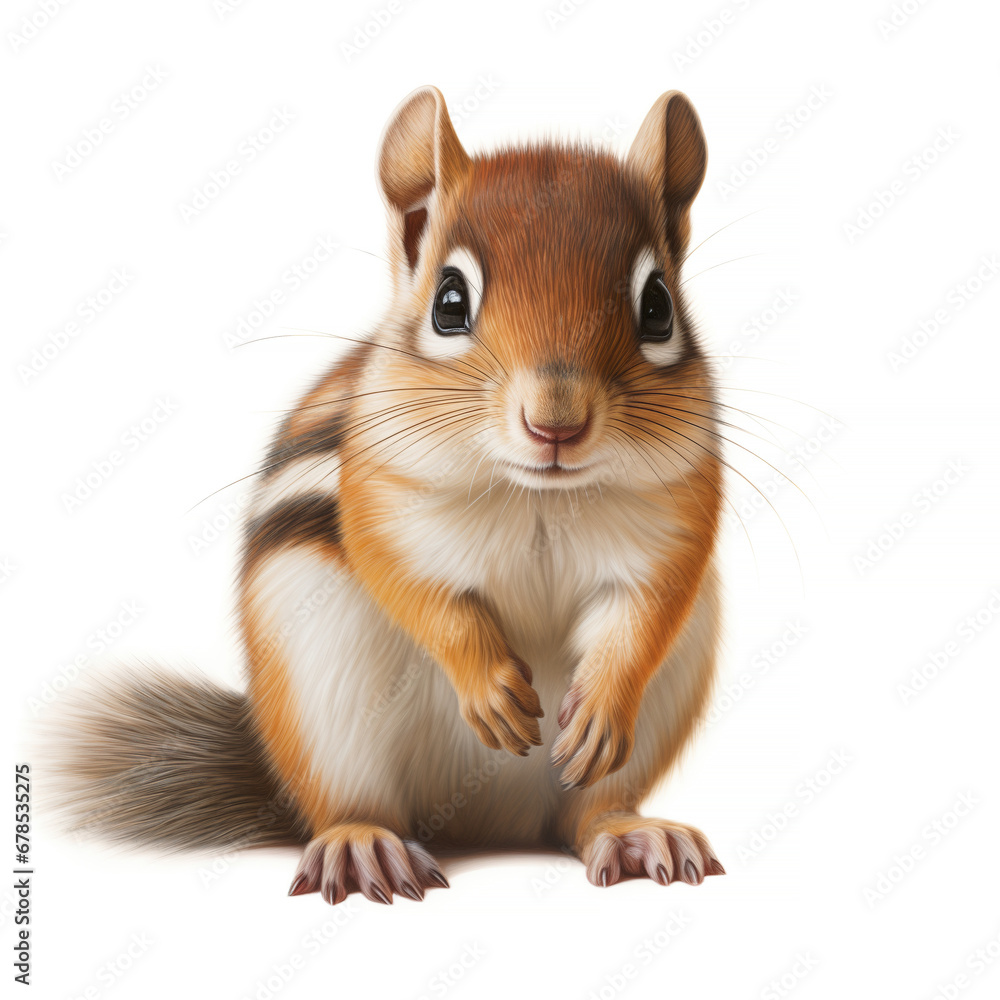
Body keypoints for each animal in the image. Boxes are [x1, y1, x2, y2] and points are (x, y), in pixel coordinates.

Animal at [48, 86, 727, 905]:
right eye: (449, 302)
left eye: (656, 306)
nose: (556, 423)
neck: (536, 494)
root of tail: (486, 825)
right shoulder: (377, 495)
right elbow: (416, 589)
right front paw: (489, 686)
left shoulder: (680, 507)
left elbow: (650, 610)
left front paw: (602, 702)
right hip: (320, 698)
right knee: (349, 800)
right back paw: (364, 845)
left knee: (585, 812)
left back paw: (629, 833)